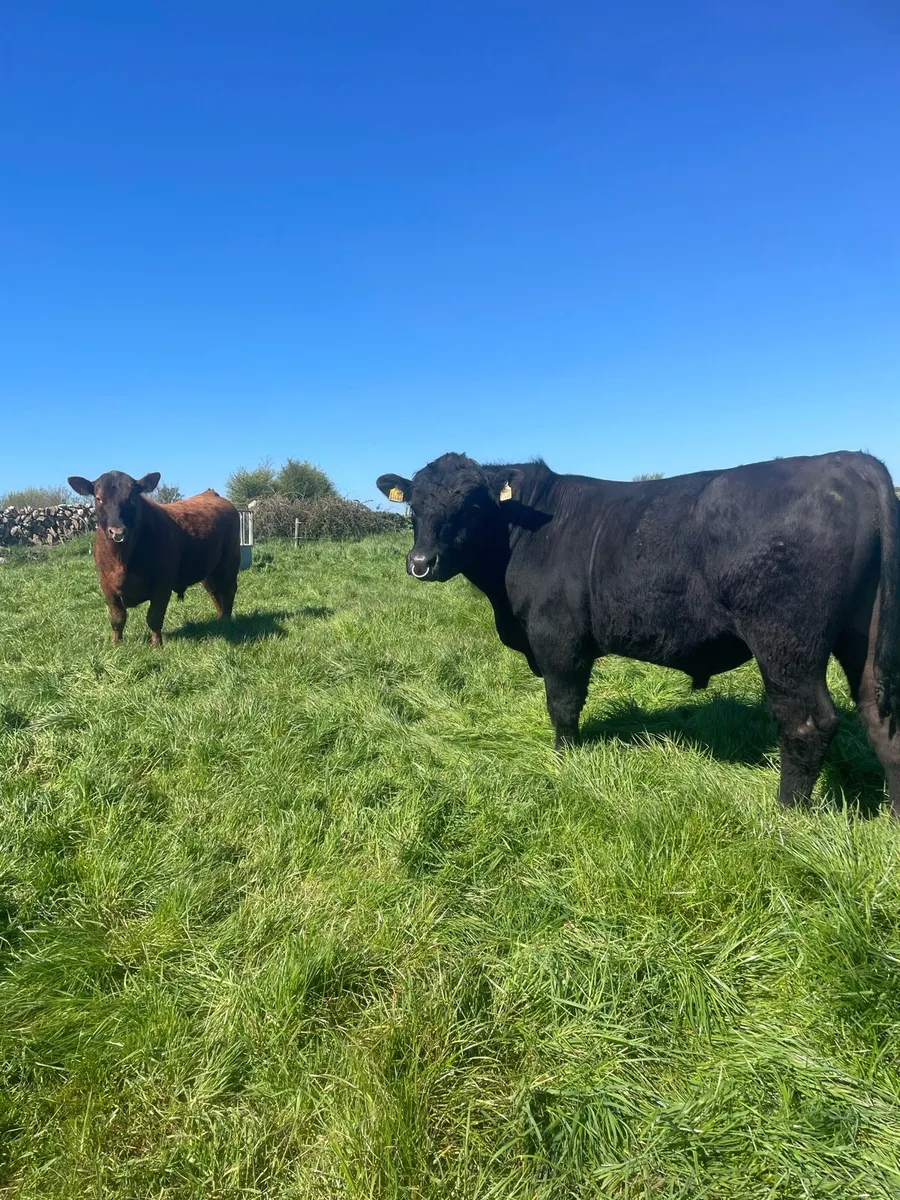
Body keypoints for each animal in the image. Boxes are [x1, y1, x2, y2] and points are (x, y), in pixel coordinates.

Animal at [67, 470, 241, 646]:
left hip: (229, 563)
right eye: (98, 498)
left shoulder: (163, 583)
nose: (117, 531)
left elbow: (154, 617)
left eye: (132, 496)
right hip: (208, 569)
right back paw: (220, 618)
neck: (122, 558)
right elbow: (117, 618)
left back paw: (226, 621)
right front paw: (116, 643)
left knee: (228, 590)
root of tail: (212, 494)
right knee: (214, 591)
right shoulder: (106, 584)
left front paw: (156, 644)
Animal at [377, 451, 900, 815]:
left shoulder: (557, 639)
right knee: (880, 716)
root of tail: (849, 461)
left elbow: (562, 705)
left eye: (470, 503)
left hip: (786, 642)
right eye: (414, 506)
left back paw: (786, 815)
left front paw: (565, 762)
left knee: (806, 723)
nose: (421, 563)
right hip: (865, 636)